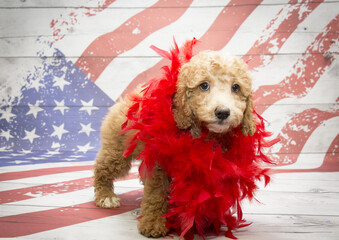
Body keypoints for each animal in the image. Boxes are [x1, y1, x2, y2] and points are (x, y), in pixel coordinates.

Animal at [93, 49, 255, 237]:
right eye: (204, 85)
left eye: (236, 87)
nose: (222, 112)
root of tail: (125, 99)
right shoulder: (159, 162)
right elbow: (156, 192)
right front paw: (154, 223)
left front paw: (207, 220)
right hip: (118, 150)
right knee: (102, 168)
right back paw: (106, 196)